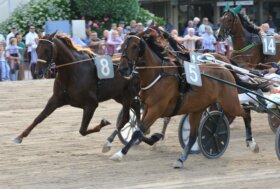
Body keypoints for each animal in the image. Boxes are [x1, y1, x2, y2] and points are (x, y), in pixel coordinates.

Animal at [13, 32, 141, 154]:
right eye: (36, 49)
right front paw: (19, 137)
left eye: (47, 50)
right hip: (119, 95)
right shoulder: (55, 99)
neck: (72, 71)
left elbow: (82, 130)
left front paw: (103, 123)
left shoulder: (91, 104)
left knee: (126, 117)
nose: (37, 72)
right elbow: (39, 118)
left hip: (128, 94)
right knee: (136, 106)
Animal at [111, 34, 245, 168]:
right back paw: (181, 159)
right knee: (194, 135)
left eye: (134, 46)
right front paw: (155, 137)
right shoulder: (148, 108)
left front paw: (119, 154)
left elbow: (138, 132)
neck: (158, 74)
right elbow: (140, 130)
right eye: (122, 47)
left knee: (243, 113)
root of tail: (225, 68)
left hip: (229, 103)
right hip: (198, 108)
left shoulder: (156, 110)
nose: (122, 69)